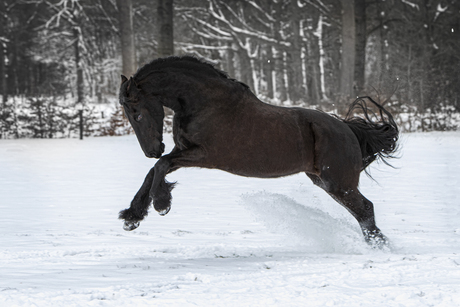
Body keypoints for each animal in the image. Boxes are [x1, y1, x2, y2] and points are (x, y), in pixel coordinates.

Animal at [117, 55, 398, 248]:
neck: (204, 104)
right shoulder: (182, 151)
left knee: (366, 209)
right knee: (362, 211)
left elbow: (160, 167)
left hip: (337, 183)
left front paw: (162, 204)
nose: (152, 150)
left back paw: (379, 246)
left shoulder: (204, 155)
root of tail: (347, 129)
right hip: (323, 180)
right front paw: (132, 216)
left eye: (137, 113)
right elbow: (154, 171)